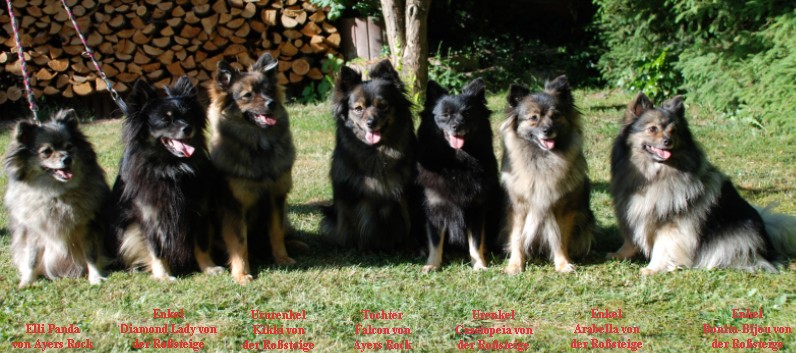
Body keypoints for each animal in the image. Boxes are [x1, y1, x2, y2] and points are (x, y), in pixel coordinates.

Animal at [109, 77, 221, 280]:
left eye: (188, 116)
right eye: (165, 120)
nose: (188, 128)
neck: (170, 167)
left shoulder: (199, 212)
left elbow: (201, 244)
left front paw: (209, 268)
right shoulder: (149, 216)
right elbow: (155, 249)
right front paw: (163, 276)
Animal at [208, 52, 296, 284]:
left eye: (268, 90)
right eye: (247, 95)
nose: (271, 103)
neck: (259, 146)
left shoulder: (276, 197)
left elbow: (276, 232)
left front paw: (282, 258)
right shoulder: (234, 205)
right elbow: (239, 243)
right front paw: (241, 273)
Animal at [416, 78, 498, 270]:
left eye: (467, 113)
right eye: (445, 115)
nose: (457, 126)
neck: (457, 163)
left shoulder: (476, 208)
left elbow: (475, 242)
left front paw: (479, 265)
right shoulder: (434, 208)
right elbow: (435, 242)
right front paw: (432, 264)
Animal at [608, 93, 796, 272]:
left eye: (674, 131)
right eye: (653, 129)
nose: (669, 141)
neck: (654, 174)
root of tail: (767, 239)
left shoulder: (672, 221)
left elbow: (663, 246)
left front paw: (652, 268)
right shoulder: (632, 212)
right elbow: (630, 239)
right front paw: (619, 255)